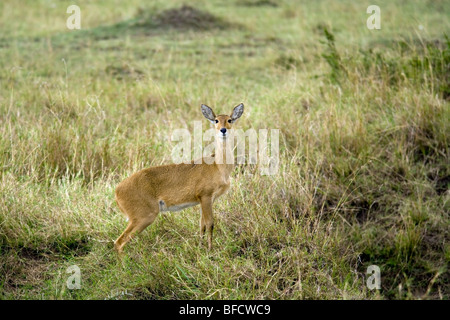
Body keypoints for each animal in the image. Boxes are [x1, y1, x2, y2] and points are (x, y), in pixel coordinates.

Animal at [114, 104, 244, 254]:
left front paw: (200, 247)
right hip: (143, 217)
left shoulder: (204, 201)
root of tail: (117, 191)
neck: (218, 166)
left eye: (229, 120)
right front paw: (210, 250)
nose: (223, 130)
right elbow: (210, 224)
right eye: (216, 120)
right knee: (119, 242)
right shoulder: (206, 197)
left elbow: (202, 225)